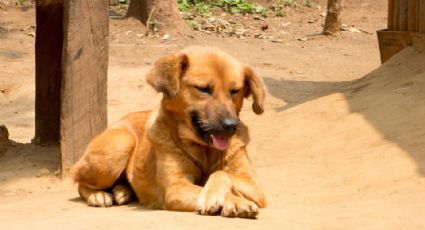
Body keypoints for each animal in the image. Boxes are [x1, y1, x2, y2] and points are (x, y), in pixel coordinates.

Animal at [71, 45, 266, 218]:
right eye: (203, 89)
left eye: (234, 91)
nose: (231, 125)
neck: (204, 151)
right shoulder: (176, 188)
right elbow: (216, 181)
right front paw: (228, 200)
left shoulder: (255, 186)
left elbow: (221, 173)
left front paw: (224, 196)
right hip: (119, 145)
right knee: (79, 181)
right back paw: (98, 195)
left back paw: (122, 191)